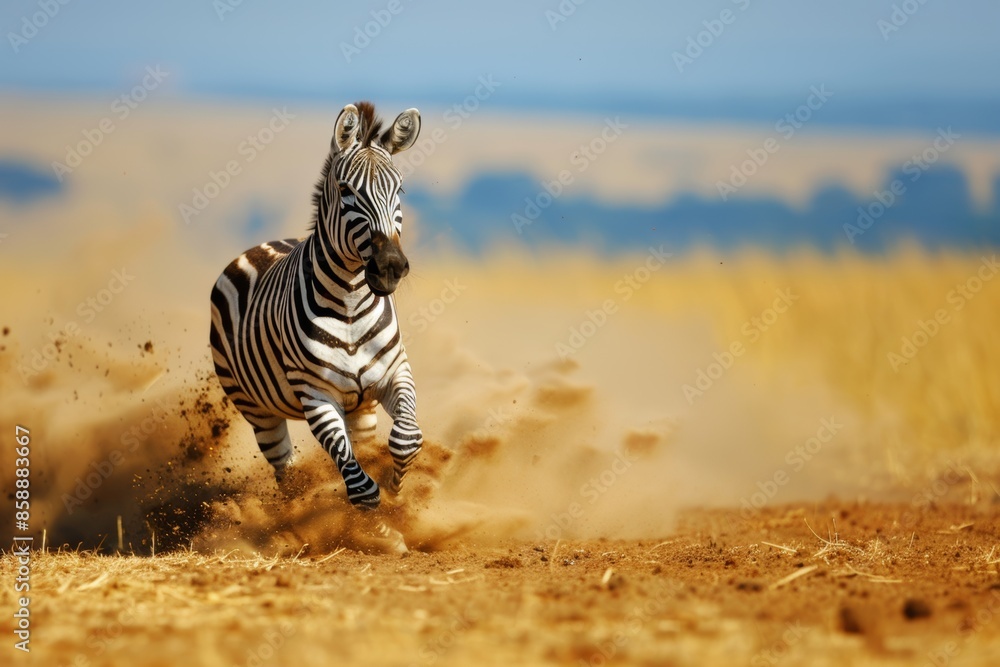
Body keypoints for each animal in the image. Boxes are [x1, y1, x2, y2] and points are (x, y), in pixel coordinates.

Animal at [209, 101, 423, 510]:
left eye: (400, 189)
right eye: (345, 190)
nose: (390, 267)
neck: (351, 308)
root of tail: (262, 245)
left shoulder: (395, 372)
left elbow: (407, 439)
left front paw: (397, 489)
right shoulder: (316, 395)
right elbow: (359, 485)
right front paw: (374, 516)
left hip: (362, 409)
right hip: (257, 412)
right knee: (285, 472)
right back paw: (289, 512)